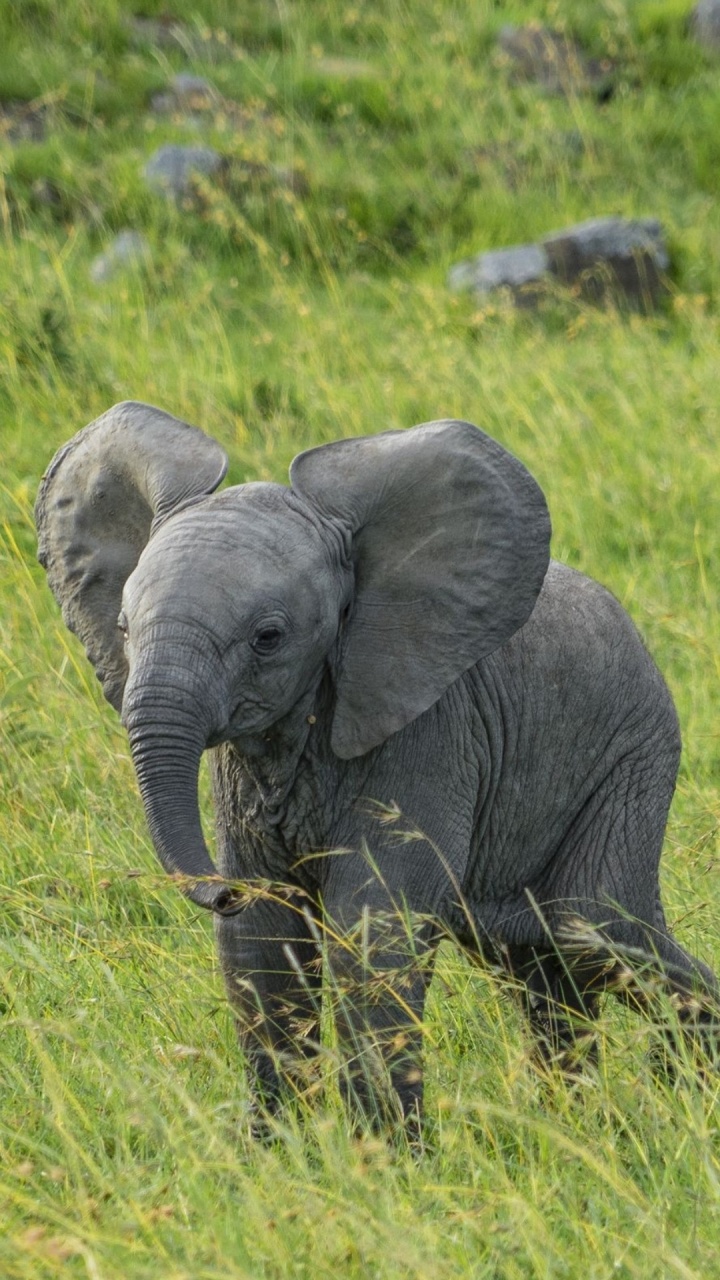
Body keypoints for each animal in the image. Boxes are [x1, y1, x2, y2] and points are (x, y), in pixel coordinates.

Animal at [36, 401, 718, 1132]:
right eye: (123, 628)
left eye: (268, 638)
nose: (221, 889)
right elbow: (263, 942)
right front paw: (277, 1148)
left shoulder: (429, 733)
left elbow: (370, 931)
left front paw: (385, 1155)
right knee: (547, 968)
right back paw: (577, 1123)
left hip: (633, 757)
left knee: (599, 932)